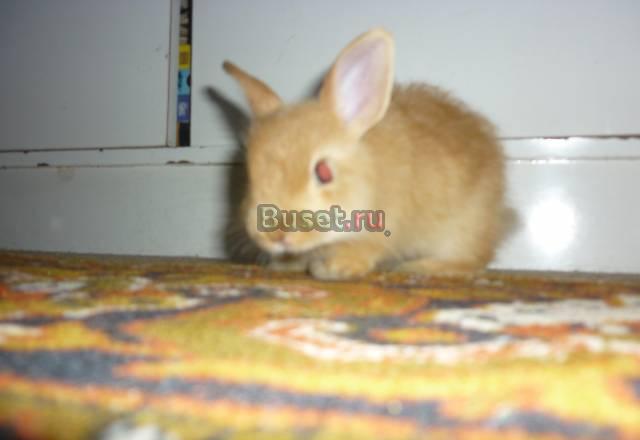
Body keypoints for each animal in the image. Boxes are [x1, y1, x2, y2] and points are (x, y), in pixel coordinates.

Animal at [222, 28, 506, 280]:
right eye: (249, 175)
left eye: (324, 172)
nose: (275, 234)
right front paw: (285, 266)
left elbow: (363, 249)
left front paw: (333, 269)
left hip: (462, 232)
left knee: (473, 261)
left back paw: (420, 267)